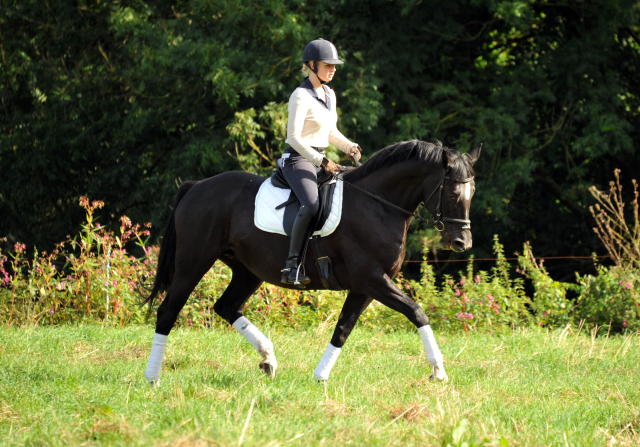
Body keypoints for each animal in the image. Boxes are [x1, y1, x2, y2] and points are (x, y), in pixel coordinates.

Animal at [141, 140, 480, 384]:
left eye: (472, 191)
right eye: (452, 192)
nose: (462, 243)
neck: (377, 205)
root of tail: (197, 187)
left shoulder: (365, 287)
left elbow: (343, 328)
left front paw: (320, 375)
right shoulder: (372, 280)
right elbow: (416, 312)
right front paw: (438, 371)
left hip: (248, 271)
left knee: (226, 306)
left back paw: (268, 359)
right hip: (193, 262)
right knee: (168, 311)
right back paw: (153, 377)